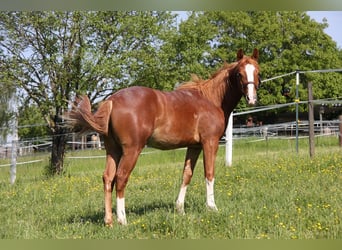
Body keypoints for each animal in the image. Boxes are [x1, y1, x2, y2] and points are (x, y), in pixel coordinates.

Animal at [66, 47, 260, 226]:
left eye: (257, 71)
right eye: (239, 73)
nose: (251, 99)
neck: (212, 99)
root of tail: (112, 100)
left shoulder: (194, 146)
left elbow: (186, 174)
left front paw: (180, 209)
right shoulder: (210, 142)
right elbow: (209, 173)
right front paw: (212, 207)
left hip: (113, 150)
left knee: (108, 178)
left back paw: (109, 221)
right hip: (131, 150)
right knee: (121, 178)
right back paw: (122, 220)